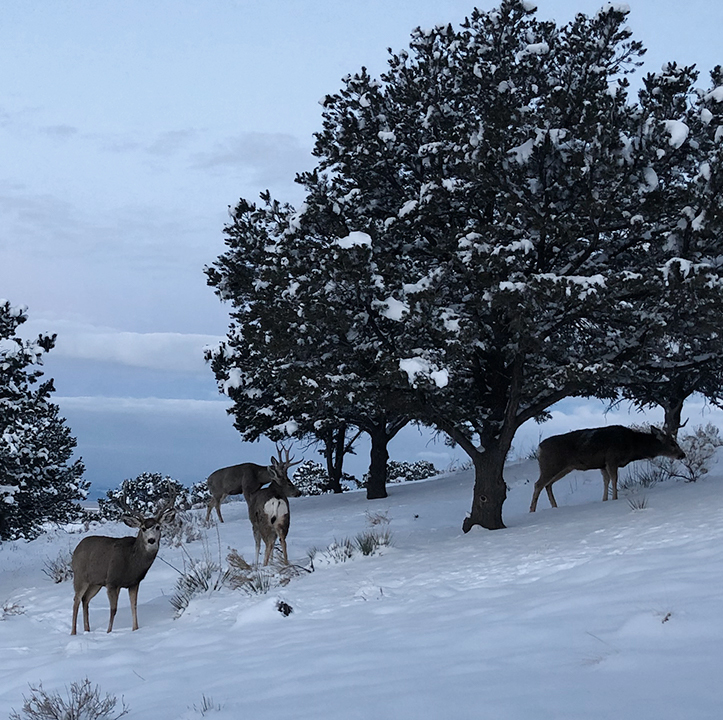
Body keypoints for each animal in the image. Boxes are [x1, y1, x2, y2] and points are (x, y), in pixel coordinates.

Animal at [71, 488, 176, 634]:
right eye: (143, 528)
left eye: (158, 527)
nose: (151, 540)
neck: (131, 561)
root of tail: (76, 549)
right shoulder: (112, 581)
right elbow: (113, 610)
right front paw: (109, 632)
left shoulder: (134, 583)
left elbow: (134, 606)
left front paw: (135, 629)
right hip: (80, 576)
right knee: (76, 599)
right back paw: (73, 633)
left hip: (95, 582)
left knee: (85, 599)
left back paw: (87, 629)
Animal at [529, 425, 686, 513]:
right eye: (672, 443)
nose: (682, 454)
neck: (632, 445)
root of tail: (539, 449)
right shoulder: (612, 458)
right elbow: (614, 480)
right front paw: (614, 498)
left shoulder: (603, 464)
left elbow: (606, 481)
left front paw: (604, 500)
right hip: (551, 465)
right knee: (538, 484)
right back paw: (532, 510)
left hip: (563, 468)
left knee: (548, 484)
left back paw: (555, 507)